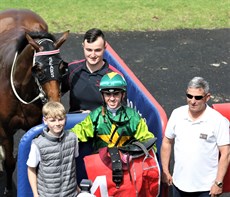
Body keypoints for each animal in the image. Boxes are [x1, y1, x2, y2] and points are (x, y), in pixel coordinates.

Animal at [0, 9, 69, 195]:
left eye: (62, 67)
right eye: (38, 68)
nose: (54, 102)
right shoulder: (5, 130)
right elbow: (10, 162)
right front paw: (7, 189)